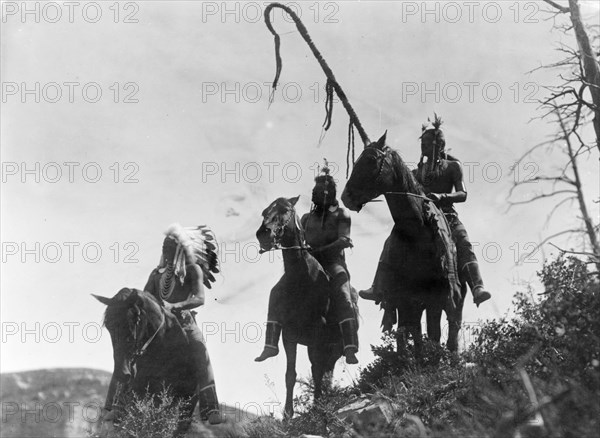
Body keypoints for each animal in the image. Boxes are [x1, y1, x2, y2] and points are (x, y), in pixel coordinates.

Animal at [255, 197, 358, 420]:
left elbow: (317, 372)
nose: (263, 234)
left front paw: (318, 407)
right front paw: (287, 415)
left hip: (333, 347)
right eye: (264, 212)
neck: (302, 280)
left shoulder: (317, 336)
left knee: (325, 370)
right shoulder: (289, 336)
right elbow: (290, 375)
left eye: (286, 210)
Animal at [342, 132, 464, 354]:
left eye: (371, 160)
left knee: (450, 329)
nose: (346, 196)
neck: (417, 234)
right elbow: (407, 339)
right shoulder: (403, 299)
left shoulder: (436, 298)